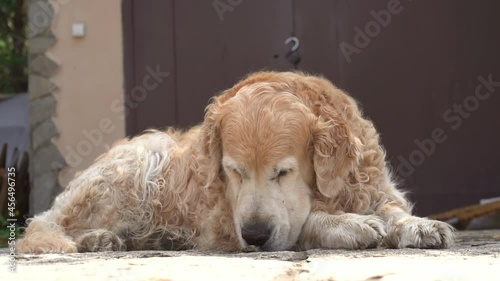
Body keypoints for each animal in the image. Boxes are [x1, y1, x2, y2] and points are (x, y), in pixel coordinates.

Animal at [17, 71, 456, 253]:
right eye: (232, 171)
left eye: (283, 172)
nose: (256, 236)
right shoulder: (225, 219)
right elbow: (304, 221)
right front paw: (350, 225)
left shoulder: (374, 184)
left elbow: (394, 210)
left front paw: (420, 226)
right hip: (146, 156)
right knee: (48, 225)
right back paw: (96, 239)